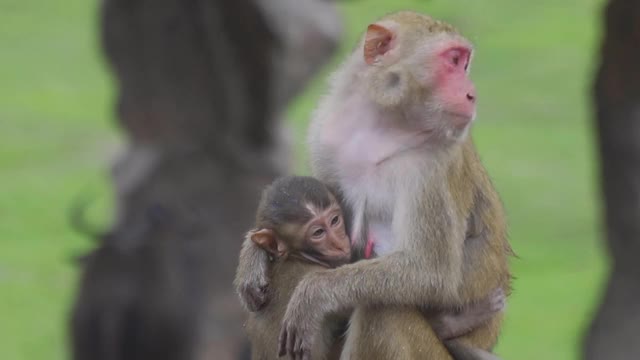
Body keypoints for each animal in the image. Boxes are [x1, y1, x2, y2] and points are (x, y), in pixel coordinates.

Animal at [238, 176, 502, 358]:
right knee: (381, 308)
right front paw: (459, 320)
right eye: (318, 233)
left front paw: (254, 253)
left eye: (334, 220)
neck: (297, 257)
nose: (339, 242)